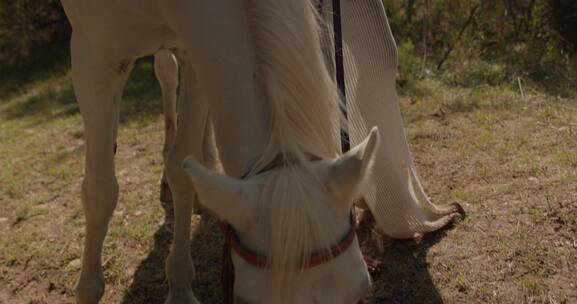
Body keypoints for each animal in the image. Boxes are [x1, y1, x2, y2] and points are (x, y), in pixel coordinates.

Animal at [63, 0, 376, 304]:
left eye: (362, 292)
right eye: (245, 301)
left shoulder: (196, 47)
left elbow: (181, 168)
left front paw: (179, 288)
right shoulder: (93, 56)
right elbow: (100, 192)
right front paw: (88, 290)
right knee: (166, 71)